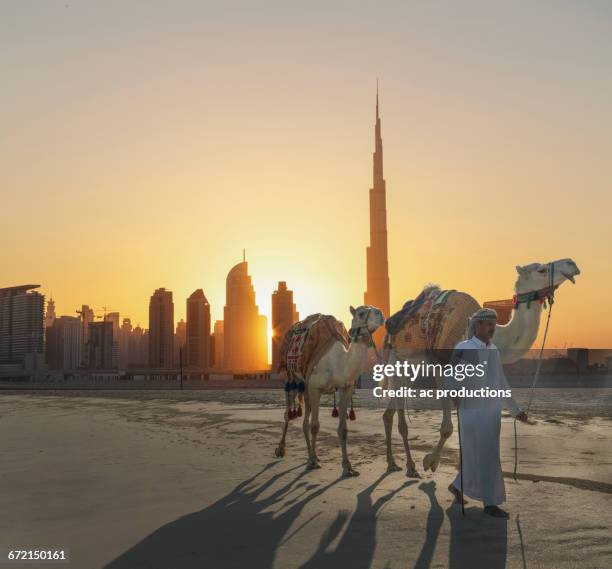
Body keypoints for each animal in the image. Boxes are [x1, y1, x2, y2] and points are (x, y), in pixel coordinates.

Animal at [276, 304, 384, 478]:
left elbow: (343, 429)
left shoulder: (345, 388)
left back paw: (311, 455)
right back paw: (281, 450)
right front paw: (313, 462)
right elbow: (315, 426)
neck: (338, 363)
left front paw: (348, 467)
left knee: (305, 422)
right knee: (288, 414)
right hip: (290, 377)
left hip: (305, 387)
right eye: (361, 313)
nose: (381, 314)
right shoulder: (316, 388)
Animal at [382, 256, 580, 474]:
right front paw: (430, 461)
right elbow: (448, 427)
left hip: (413, 365)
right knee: (399, 415)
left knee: (389, 412)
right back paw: (408, 466)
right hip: (397, 359)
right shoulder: (441, 365)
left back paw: (393, 462)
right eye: (542, 270)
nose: (572, 263)